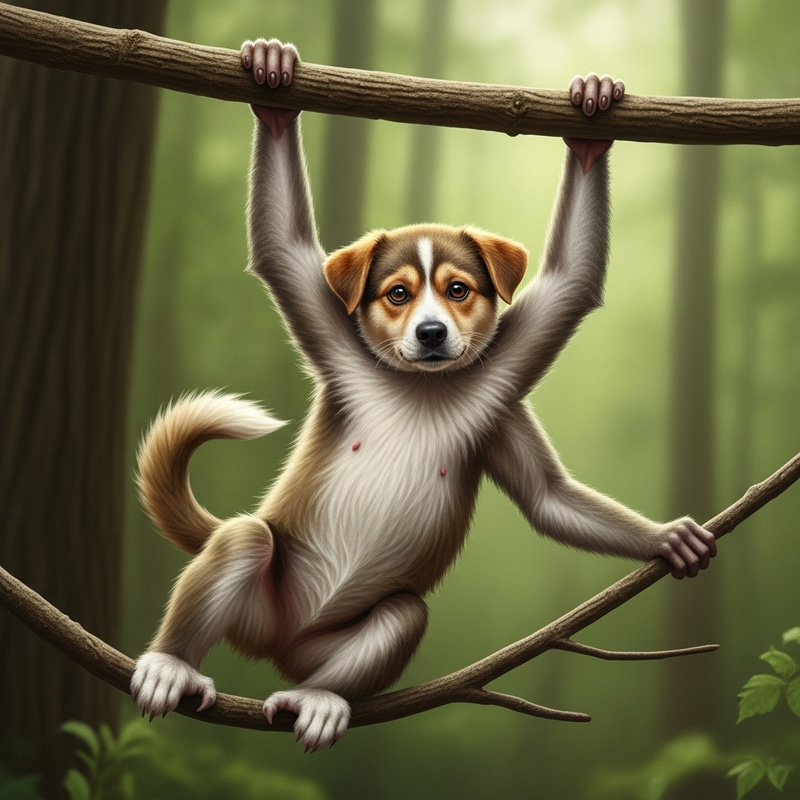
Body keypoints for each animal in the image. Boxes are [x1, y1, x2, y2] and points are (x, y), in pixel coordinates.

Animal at [130, 40, 716, 752]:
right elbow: (282, 248)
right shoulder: (342, 344)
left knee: (402, 614)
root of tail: (279, 644)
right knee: (245, 540)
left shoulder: (499, 397)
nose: (432, 332)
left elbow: (549, 485)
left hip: (330, 640)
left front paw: (590, 122)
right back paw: (171, 662)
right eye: (398, 294)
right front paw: (273, 86)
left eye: (459, 290)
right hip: (259, 595)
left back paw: (318, 698)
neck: (423, 384)